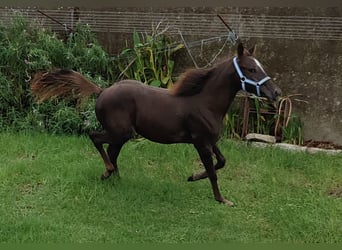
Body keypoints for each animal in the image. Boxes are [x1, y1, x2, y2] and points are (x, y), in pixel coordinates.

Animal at [31, 43, 284, 206]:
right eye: (251, 69)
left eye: (260, 66)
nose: (276, 93)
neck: (205, 102)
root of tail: (101, 91)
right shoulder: (201, 143)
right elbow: (214, 172)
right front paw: (221, 199)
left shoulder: (210, 141)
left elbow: (221, 162)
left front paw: (192, 177)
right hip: (121, 132)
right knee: (97, 139)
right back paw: (108, 173)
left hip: (121, 134)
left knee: (111, 151)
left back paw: (115, 178)